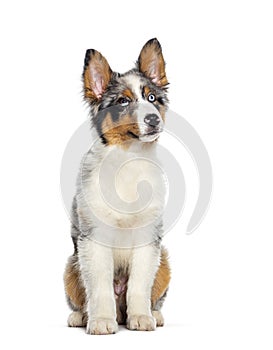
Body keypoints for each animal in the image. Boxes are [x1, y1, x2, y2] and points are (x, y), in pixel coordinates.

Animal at [63, 37, 170, 334]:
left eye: (152, 98)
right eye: (122, 101)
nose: (153, 119)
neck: (129, 160)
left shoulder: (148, 238)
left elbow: (139, 285)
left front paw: (141, 317)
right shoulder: (93, 237)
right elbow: (99, 286)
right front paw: (100, 321)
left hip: (164, 260)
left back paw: (154, 314)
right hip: (71, 265)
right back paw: (81, 317)